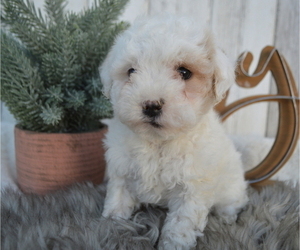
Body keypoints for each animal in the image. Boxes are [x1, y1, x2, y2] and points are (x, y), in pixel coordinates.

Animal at [99, 15, 247, 250]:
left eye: (184, 72)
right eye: (131, 71)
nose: (151, 105)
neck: (158, 142)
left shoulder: (192, 189)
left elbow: (180, 225)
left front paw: (173, 244)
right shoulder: (122, 171)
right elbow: (117, 200)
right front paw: (112, 227)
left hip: (232, 187)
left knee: (232, 203)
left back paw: (228, 218)